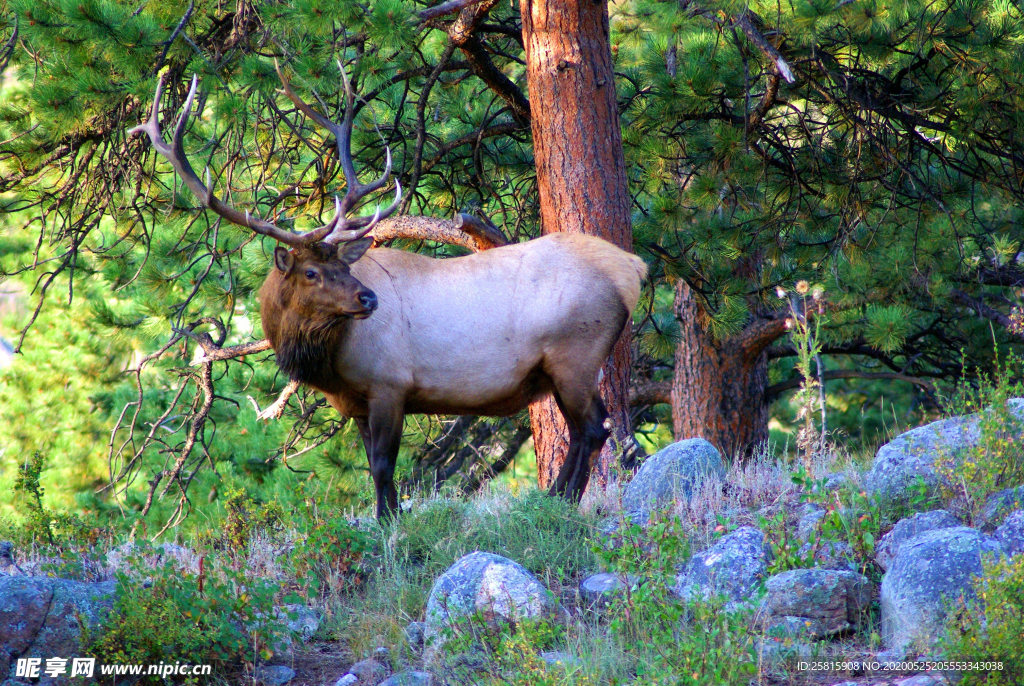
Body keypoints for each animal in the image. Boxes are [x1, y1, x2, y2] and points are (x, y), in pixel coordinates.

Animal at [132, 66, 643, 522]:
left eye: (343, 265)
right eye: (313, 272)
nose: (369, 300)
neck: (330, 362)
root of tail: (632, 270)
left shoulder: (390, 384)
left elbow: (382, 466)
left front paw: (388, 527)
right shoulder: (356, 402)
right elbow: (372, 468)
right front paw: (388, 519)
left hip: (574, 353)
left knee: (592, 429)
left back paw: (560, 503)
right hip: (566, 366)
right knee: (591, 429)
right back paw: (553, 499)